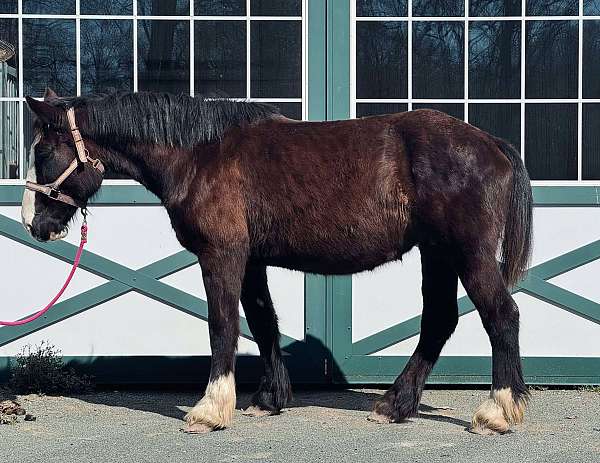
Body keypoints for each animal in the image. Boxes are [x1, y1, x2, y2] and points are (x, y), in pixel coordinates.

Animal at [21, 89, 532, 436]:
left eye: (43, 152)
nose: (32, 223)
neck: (201, 154)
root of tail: (491, 144)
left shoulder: (222, 254)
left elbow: (223, 325)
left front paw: (210, 409)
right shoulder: (250, 261)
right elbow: (262, 321)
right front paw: (268, 398)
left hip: (467, 253)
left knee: (501, 315)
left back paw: (496, 411)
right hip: (438, 254)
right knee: (439, 320)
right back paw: (396, 405)